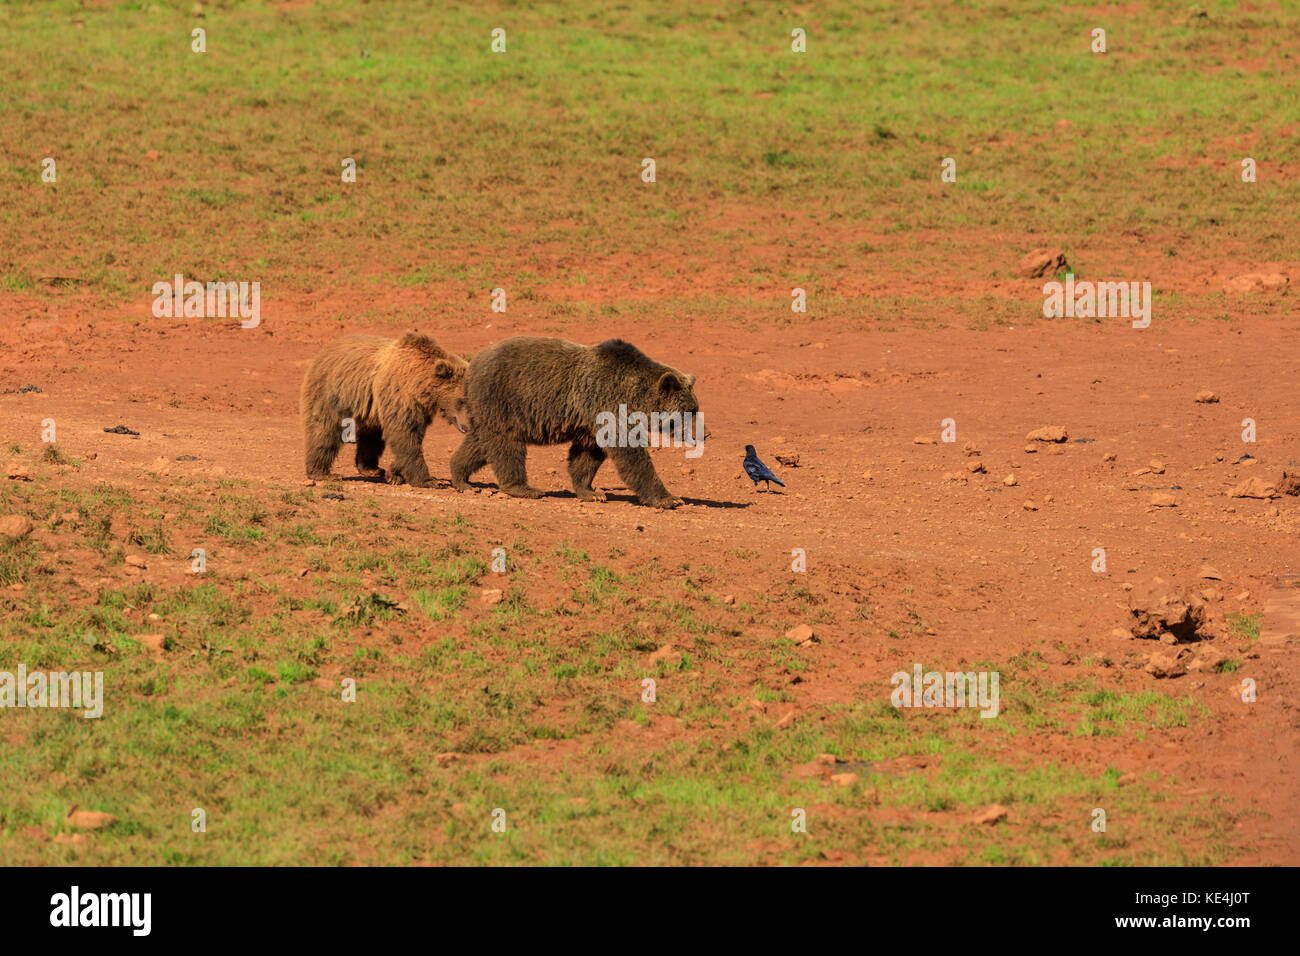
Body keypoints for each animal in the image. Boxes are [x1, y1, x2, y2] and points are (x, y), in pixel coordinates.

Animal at [299, 335, 473, 486]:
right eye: (461, 400)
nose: (467, 426)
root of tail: (323, 352)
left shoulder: (419, 409)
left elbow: (410, 436)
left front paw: (395, 473)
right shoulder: (400, 396)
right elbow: (405, 434)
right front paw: (428, 480)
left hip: (369, 410)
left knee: (371, 436)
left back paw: (371, 468)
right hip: (332, 393)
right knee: (324, 431)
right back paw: (322, 472)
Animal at [454, 335, 707, 509]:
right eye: (689, 411)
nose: (705, 433)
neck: (636, 398)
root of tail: (473, 363)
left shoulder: (592, 422)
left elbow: (586, 456)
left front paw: (591, 492)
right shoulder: (609, 406)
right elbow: (631, 455)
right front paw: (669, 498)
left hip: (487, 410)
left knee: (479, 443)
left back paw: (461, 478)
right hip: (503, 399)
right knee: (506, 445)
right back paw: (523, 488)